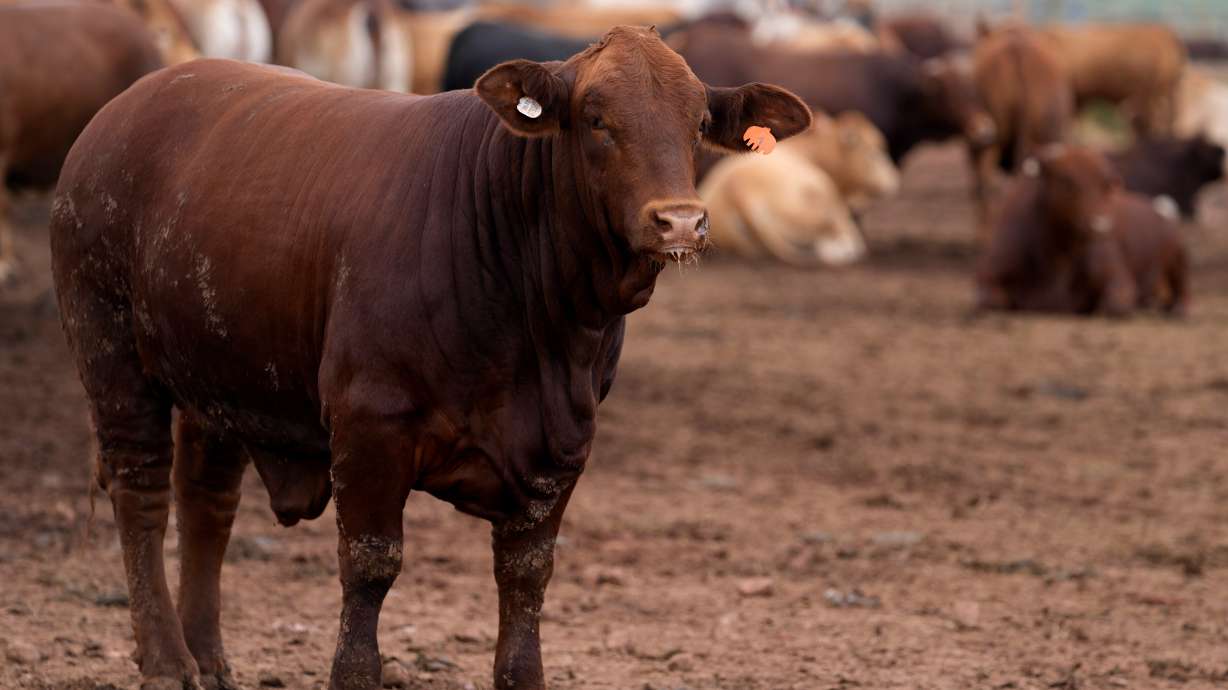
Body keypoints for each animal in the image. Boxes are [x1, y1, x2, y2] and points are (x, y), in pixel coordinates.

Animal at [50, 26, 810, 690]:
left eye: (698, 120)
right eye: (596, 118)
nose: (680, 221)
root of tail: (126, 106)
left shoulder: (563, 445)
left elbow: (526, 578)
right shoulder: (369, 425)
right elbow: (371, 564)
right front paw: (354, 674)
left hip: (219, 375)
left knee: (206, 502)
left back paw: (207, 658)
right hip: (111, 351)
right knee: (141, 493)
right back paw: (167, 661)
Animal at [976, 145, 1187, 317]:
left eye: (1106, 184)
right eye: (1067, 180)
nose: (1101, 226)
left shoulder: (1118, 280)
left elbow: (1115, 305)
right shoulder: (990, 275)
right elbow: (994, 300)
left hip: (1177, 257)